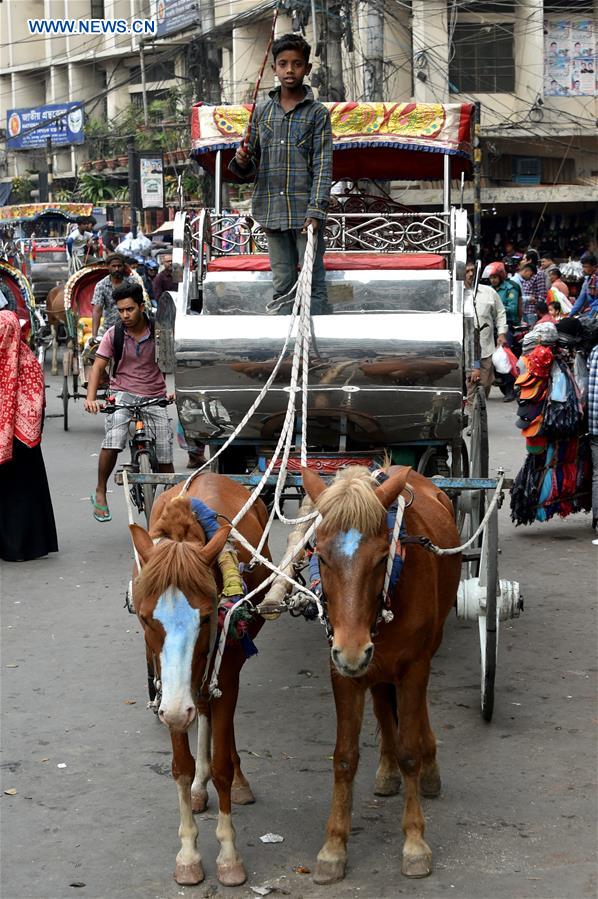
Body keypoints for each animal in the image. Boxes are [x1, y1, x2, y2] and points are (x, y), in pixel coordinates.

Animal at [132, 474, 270, 888]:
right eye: (145, 618)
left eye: (208, 617)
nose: (178, 711)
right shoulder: (168, 691)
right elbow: (180, 767)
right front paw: (189, 854)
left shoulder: (224, 673)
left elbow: (222, 763)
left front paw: (228, 855)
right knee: (203, 710)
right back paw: (199, 786)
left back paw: (237, 782)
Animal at [300, 464, 464, 884]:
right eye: (320, 556)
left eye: (380, 559)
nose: (353, 650)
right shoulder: (343, 670)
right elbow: (344, 757)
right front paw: (333, 848)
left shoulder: (413, 666)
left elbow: (409, 750)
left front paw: (415, 842)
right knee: (382, 703)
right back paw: (388, 769)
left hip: (421, 652)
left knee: (415, 715)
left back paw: (428, 765)